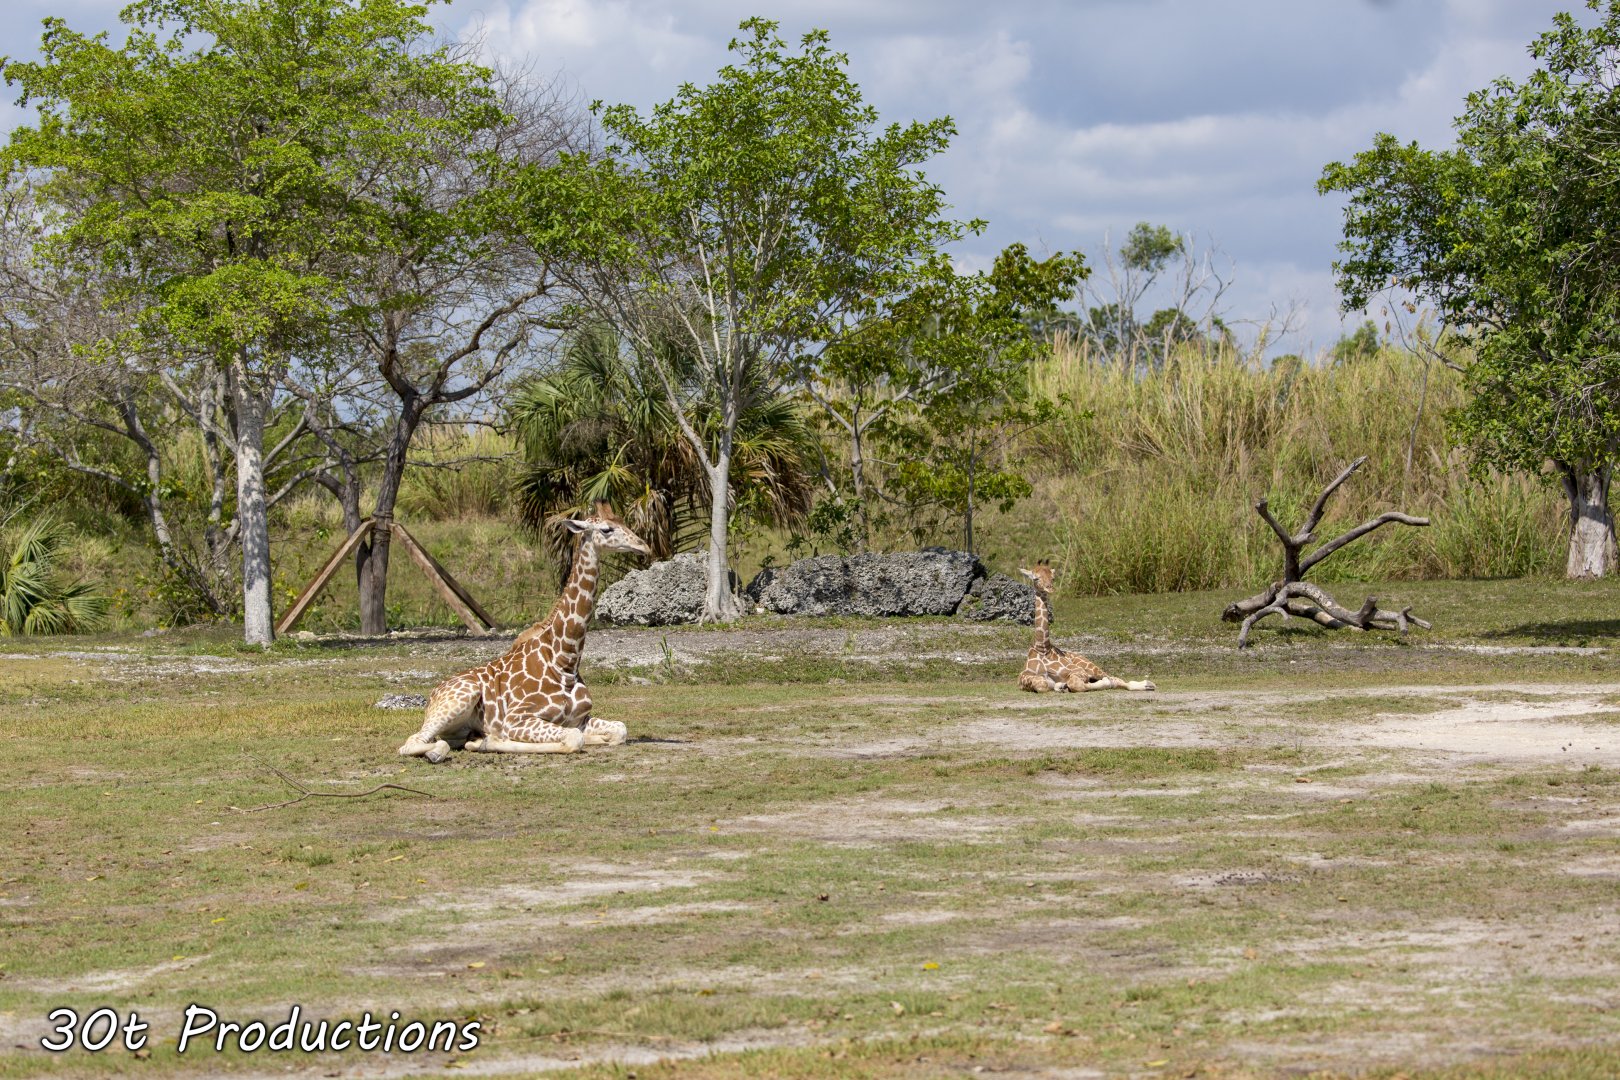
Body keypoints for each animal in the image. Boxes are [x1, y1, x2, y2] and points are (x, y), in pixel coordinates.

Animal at [397, 501, 652, 763]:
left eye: (624, 523)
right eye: (606, 529)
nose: (644, 546)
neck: (565, 660)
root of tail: (432, 694)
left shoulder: (580, 719)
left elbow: (620, 729)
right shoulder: (517, 719)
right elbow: (574, 739)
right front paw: (494, 740)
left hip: (458, 727)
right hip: (461, 698)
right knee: (413, 742)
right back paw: (456, 747)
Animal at [1017, 561, 1156, 693]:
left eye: (1053, 578)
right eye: (1036, 578)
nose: (1049, 588)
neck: (1042, 647)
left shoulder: (1079, 671)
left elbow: (1077, 684)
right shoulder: (1023, 679)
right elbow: (1042, 684)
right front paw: (1061, 686)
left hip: (1090, 666)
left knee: (1114, 678)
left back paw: (1148, 684)